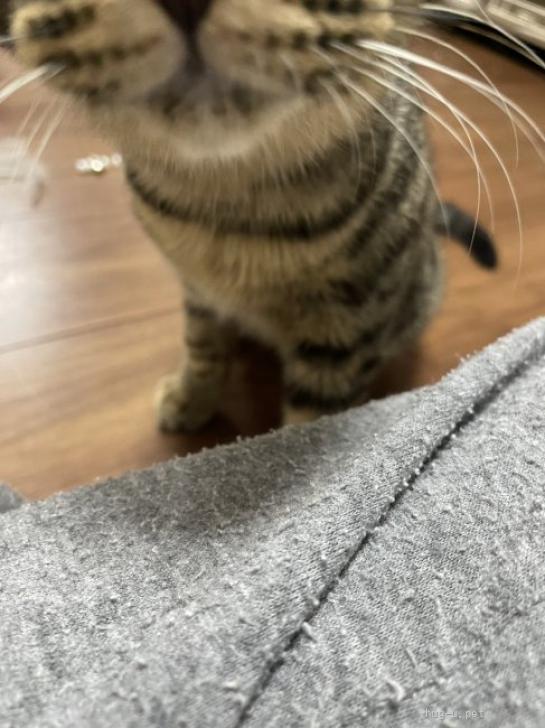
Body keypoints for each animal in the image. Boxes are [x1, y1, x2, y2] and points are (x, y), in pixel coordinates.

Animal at [2, 0, 496, 430]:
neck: (227, 205)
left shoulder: (346, 327)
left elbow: (310, 418)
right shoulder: (197, 288)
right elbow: (201, 344)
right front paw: (191, 397)